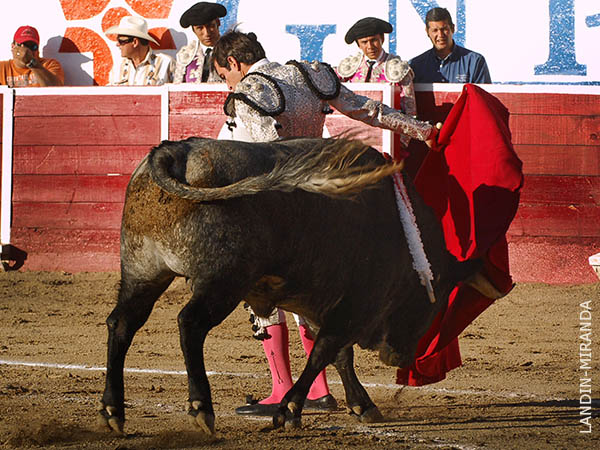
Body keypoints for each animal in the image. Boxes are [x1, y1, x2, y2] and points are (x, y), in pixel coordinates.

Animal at [97, 136, 482, 435]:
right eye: (435, 303)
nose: (398, 358)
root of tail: (177, 150)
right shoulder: (356, 303)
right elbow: (324, 351)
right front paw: (289, 410)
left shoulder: (324, 303)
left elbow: (337, 354)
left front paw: (361, 405)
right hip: (222, 283)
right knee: (189, 324)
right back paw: (201, 408)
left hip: (142, 271)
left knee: (122, 323)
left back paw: (113, 412)